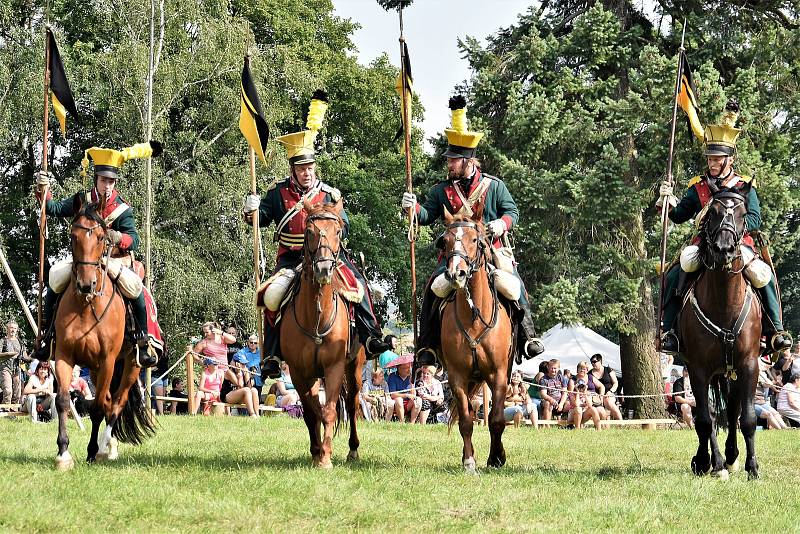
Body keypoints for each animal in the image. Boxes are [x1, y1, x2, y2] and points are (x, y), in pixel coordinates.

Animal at [52, 195, 156, 472]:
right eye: (73, 236)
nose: (86, 284)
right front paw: (63, 453)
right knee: (110, 402)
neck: (86, 305)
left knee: (115, 404)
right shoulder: (64, 357)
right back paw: (109, 448)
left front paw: (91, 451)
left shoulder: (107, 361)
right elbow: (63, 401)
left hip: (130, 366)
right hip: (98, 370)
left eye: (100, 237)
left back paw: (103, 449)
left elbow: (98, 408)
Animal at [280, 200, 364, 468]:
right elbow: (311, 412)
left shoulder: (334, 367)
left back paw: (353, 450)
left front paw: (325, 457)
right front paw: (317, 452)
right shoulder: (299, 372)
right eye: (309, 232)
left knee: (352, 403)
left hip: (354, 367)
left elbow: (329, 411)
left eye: (338, 231)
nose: (324, 269)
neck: (316, 316)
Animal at [438, 207, 512, 476]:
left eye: (474, 240)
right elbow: (467, 420)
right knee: (467, 411)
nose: (455, 273)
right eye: (445, 242)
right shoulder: (457, 376)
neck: (474, 315)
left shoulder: (498, 374)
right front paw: (470, 461)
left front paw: (497, 457)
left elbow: (497, 419)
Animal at [680, 192, 764, 482]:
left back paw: (732, 455)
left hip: (731, 372)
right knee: (713, 416)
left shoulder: (749, 365)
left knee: (734, 410)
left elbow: (747, 418)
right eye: (713, 212)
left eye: (742, 213)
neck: (724, 301)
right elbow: (706, 420)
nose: (723, 249)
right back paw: (711, 460)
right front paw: (710, 463)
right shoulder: (697, 369)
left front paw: (752, 467)